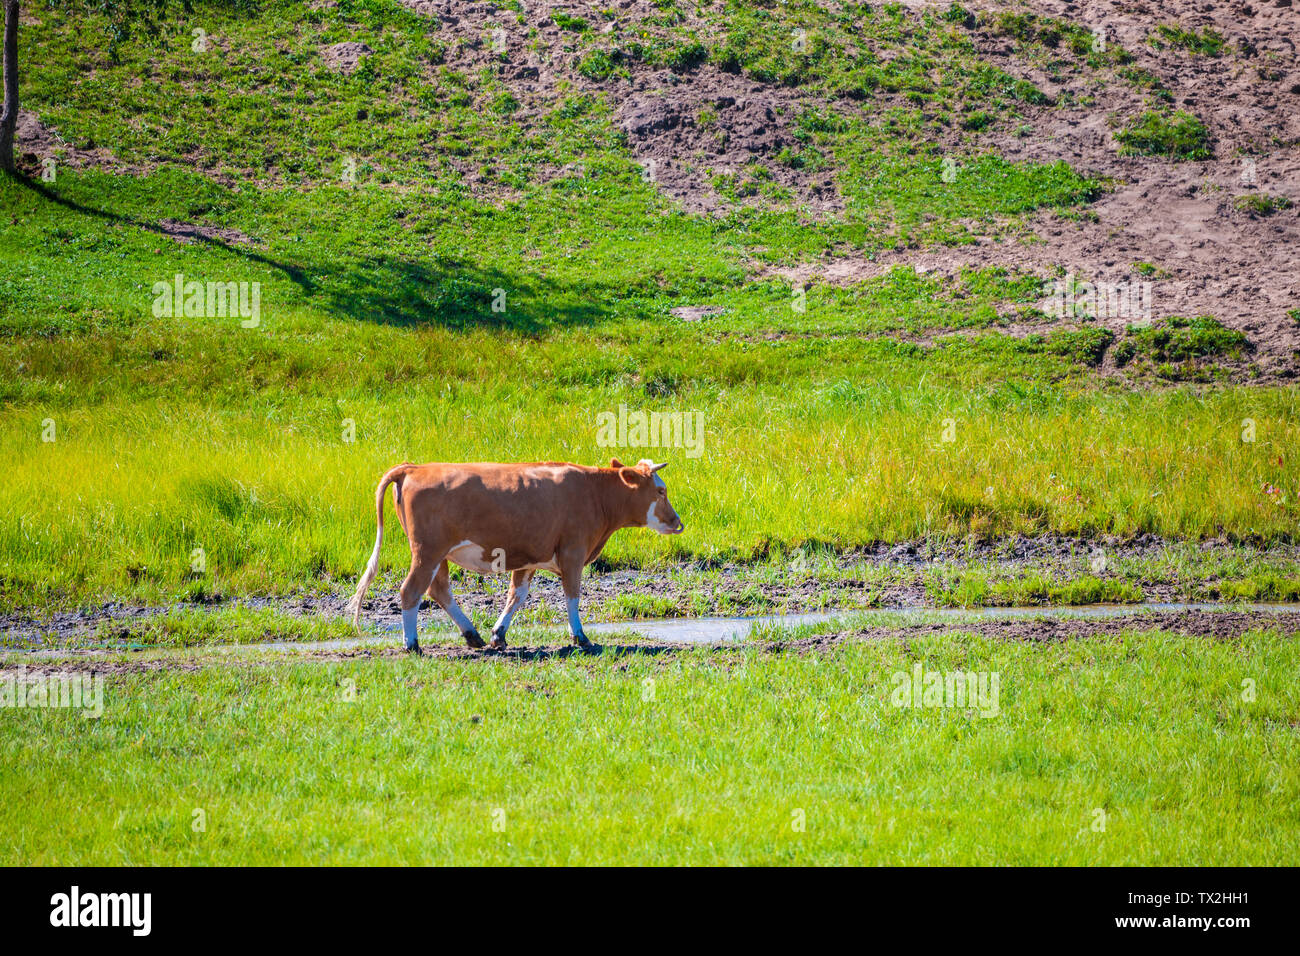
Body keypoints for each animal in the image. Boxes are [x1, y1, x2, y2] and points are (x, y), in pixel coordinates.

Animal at [345, 460, 691, 655]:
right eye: (661, 490)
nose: (678, 522)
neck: (594, 491)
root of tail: (414, 467)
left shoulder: (530, 558)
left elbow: (517, 594)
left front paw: (498, 634)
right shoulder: (573, 551)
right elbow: (573, 594)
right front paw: (581, 637)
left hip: (437, 556)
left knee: (438, 590)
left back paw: (472, 635)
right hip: (427, 551)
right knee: (411, 591)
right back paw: (412, 644)